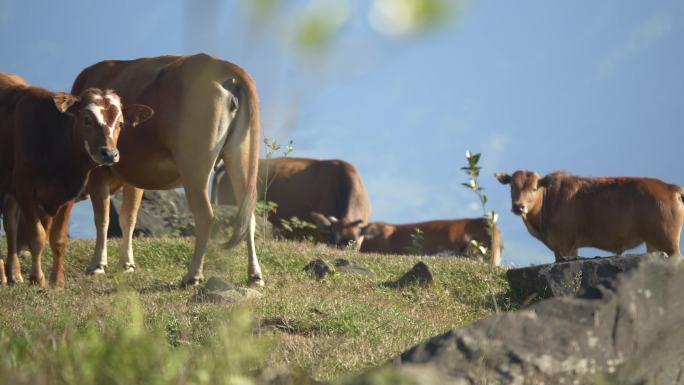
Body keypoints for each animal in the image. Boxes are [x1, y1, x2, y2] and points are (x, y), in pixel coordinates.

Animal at [0, 73, 152, 286]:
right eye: (87, 119)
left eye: (121, 124)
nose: (109, 154)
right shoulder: (25, 190)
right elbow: (37, 236)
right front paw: (38, 278)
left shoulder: (69, 191)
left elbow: (58, 238)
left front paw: (57, 280)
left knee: (11, 222)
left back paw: (14, 274)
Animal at [70, 53, 262, 284]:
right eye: (87, 119)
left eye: (120, 123)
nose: (109, 153)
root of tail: (222, 64)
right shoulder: (135, 175)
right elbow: (128, 217)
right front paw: (127, 264)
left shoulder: (97, 172)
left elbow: (103, 219)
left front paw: (98, 265)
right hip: (241, 155)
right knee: (247, 214)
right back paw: (255, 275)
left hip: (193, 165)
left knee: (205, 215)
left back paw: (193, 274)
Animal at [496, 169, 684, 260]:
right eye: (512, 186)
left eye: (534, 188)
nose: (518, 206)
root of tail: (670, 187)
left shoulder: (564, 244)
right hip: (653, 243)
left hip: (669, 241)